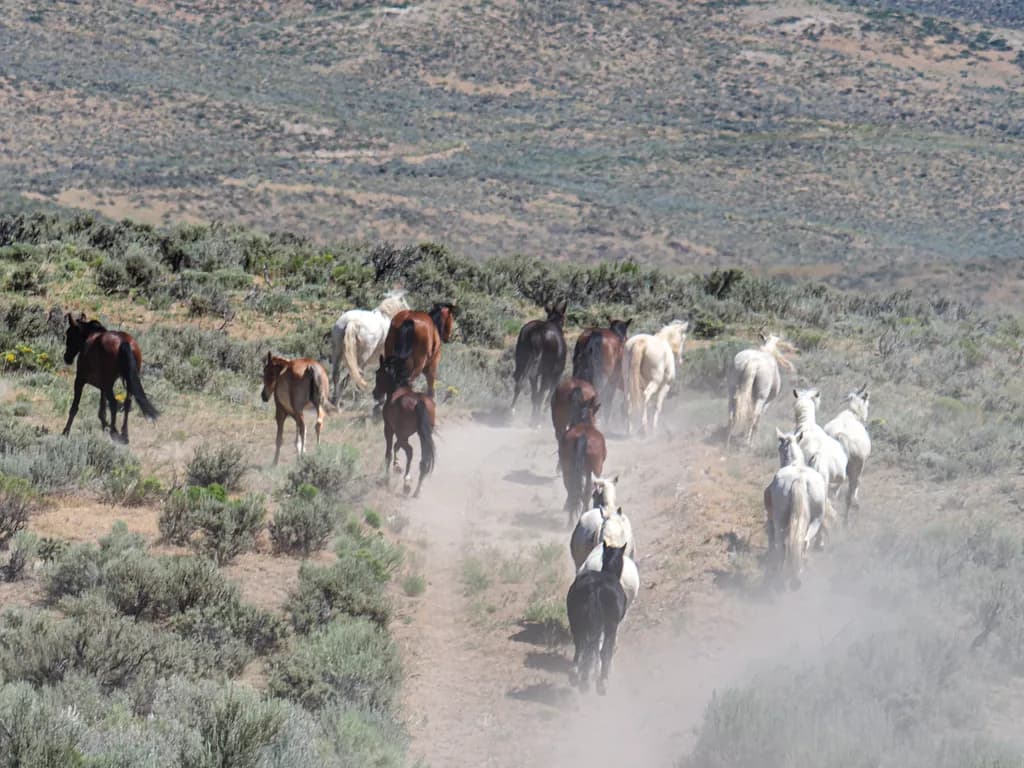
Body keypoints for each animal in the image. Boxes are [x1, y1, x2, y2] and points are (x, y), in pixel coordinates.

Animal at [61, 313, 158, 444]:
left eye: (69, 334)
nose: (67, 358)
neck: (91, 336)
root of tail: (124, 343)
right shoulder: (104, 384)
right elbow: (102, 409)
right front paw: (105, 425)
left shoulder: (80, 380)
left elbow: (75, 407)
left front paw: (65, 432)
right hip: (128, 382)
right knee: (127, 403)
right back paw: (124, 434)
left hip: (108, 384)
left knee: (113, 403)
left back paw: (114, 433)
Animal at [372, 354, 436, 497]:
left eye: (378, 375)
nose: (375, 394)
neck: (397, 389)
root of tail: (419, 402)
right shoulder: (403, 433)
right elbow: (396, 446)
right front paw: (397, 467)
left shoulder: (389, 428)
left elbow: (390, 451)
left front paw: (390, 473)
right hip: (423, 435)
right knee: (423, 460)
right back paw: (417, 490)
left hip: (402, 433)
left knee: (409, 451)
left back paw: (407, 483)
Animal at [558, 397, 607, 527]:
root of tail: (583, 436)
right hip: (591, 470)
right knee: (585, 491)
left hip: (568, 468)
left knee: (572, 489)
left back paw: (571, 520)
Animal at [566, 515, 629, 695]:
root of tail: (595, 588)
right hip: (609, 625)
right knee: (602, 650)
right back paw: (600, 682)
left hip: (577, 621)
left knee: (581, 645)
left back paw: (578, 676)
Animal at [764, 428, 832, 590]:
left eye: (779, 448)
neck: (795, 464)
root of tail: (800, 479)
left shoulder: (771, 518)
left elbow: (771, 540)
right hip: (816, 520)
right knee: (804, 542)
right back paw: (798, 573)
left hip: (779, 520)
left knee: (782, 544)